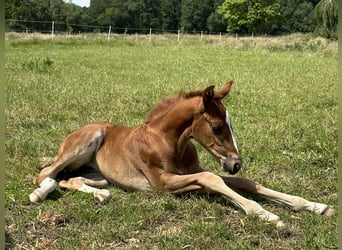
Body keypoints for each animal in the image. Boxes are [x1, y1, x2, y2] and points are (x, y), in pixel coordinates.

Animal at [30, 81, 334, 227]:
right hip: (86, 141)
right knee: (45, 174)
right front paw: (265, 214)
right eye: (217, 126)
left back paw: (101, 194)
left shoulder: (190, 173)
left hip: (92, 170)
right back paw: (39, 193)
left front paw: (313, 205)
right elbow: (212, 179)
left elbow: (244, 183)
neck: (167, 141)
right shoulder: (162, 182)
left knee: (70, 179)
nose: (236, 163)